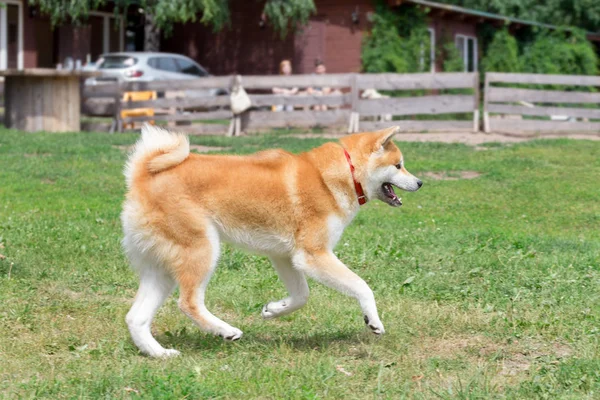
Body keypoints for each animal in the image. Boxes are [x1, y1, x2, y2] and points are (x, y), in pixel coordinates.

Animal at [122, 125, 422, 356]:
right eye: (399, 165)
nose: (420, 183)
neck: (344, 172)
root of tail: (142, 175)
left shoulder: (285, 256)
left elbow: (301, 296)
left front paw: (274, 310)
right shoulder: (314, 255)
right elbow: (362, 287)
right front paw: (373, 320)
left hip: (161, 268)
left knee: (135, 318)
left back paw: (159, 353)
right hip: (202, 249)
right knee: (188, 303)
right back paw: (225, 330)